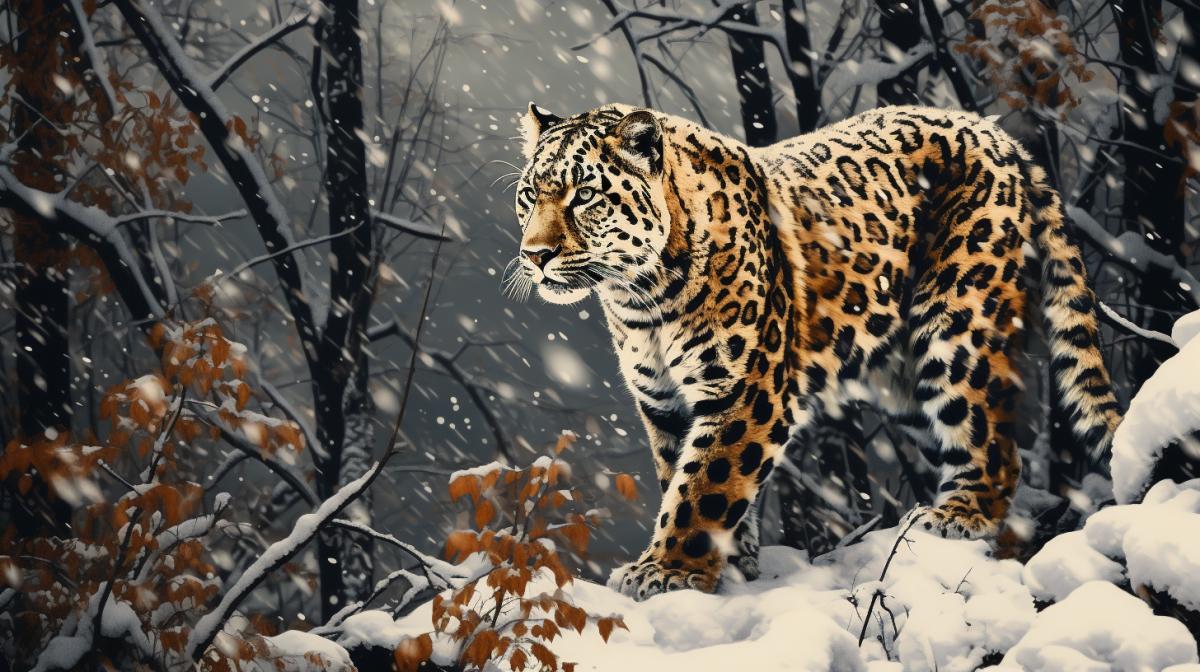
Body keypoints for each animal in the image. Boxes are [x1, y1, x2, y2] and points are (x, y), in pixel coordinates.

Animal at [504, 102, 1123, 601]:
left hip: (959, 326)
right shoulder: (664, 404)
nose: (535, 254)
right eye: (530, 195)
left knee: (994, 442)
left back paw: (958, 518)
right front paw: (734, 569)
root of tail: (997, 133)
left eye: (585, 195)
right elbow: (685, 480)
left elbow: (704, 486)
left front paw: (669, 572)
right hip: (903, 380)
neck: (642, 297)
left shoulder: (745, 390)